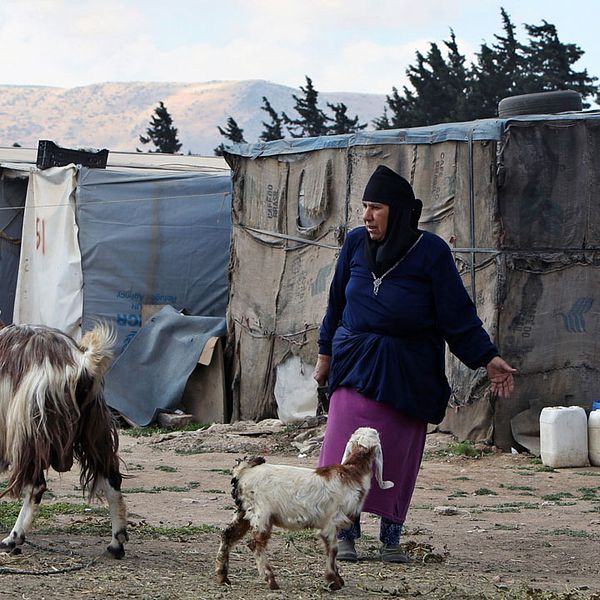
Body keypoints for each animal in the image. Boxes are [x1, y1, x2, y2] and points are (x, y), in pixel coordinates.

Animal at [0, 324, 127, 556]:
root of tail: (81, 362)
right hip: (94, 431)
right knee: (112, 479)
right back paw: (116, 544)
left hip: (28, 434)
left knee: (36, 486)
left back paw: (12, 539)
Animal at [216, 426, 394, 592]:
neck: (351, 473)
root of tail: (243, 472)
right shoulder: (330, 522)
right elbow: (333, 550)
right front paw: (333, 582)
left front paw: (338, 579)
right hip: (261, 513)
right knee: (255, 544)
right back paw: (270, 580)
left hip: (244, 511)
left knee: (227, 535)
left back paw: (223, 577)